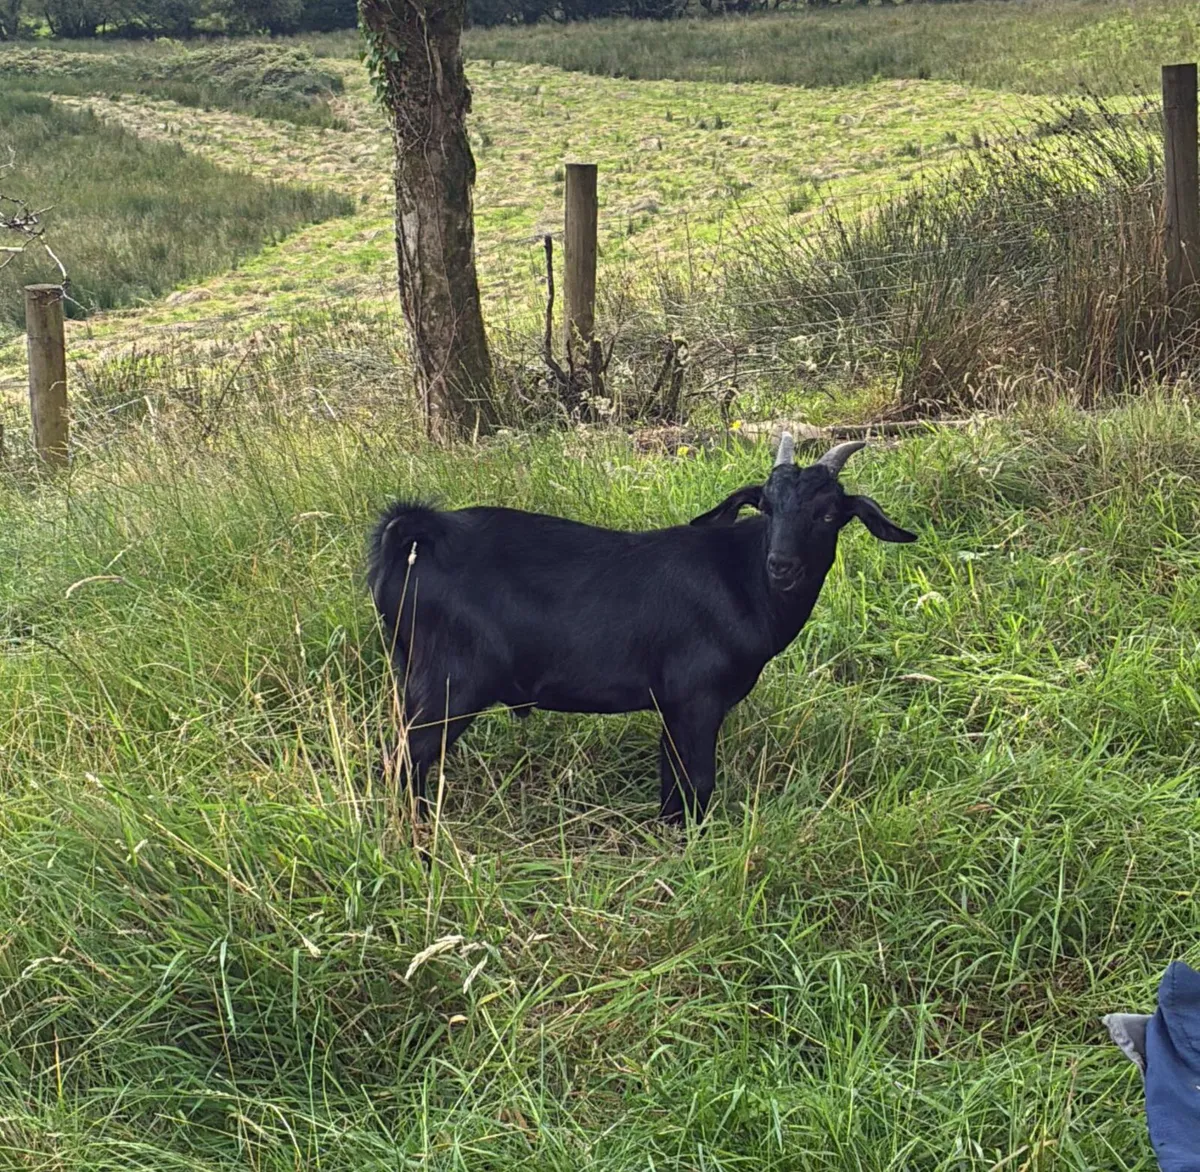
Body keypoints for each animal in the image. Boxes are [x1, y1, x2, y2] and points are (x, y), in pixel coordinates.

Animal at [367, 434, 917, 826]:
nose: (782, 566)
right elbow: (697, 782)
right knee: (404, 759)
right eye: (767, 505)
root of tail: (418, 536)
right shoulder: (695, 698)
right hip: (449, 684)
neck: (742, 580)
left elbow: (673, 784)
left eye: (828, 514)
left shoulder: (673, 706)